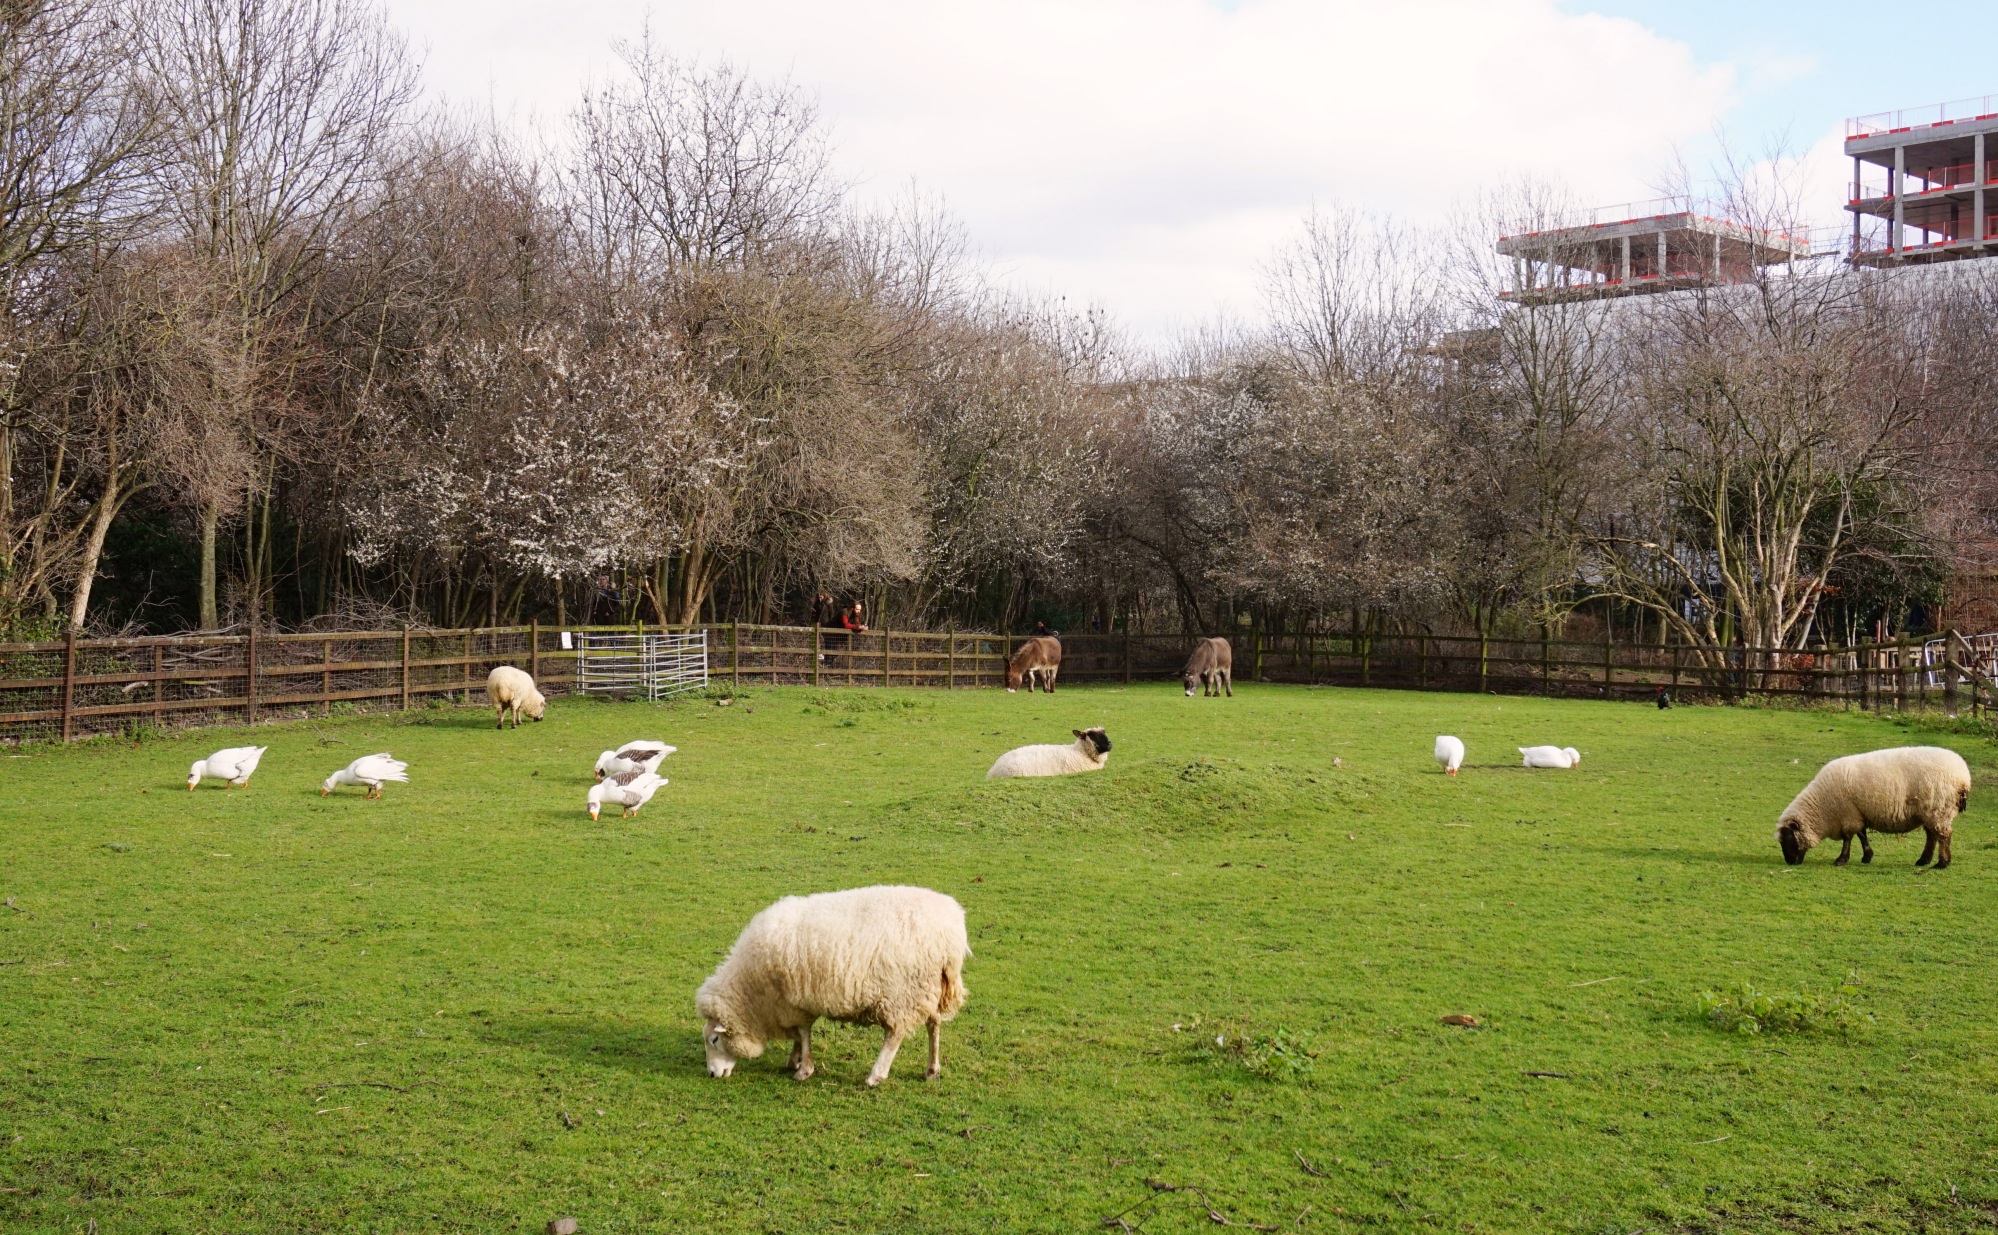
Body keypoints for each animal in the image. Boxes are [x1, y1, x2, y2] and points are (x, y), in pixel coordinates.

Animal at [699, 879, 971, 1079]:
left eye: (714, 1039)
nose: (712, 1074)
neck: (751, 992)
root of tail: (951, 932)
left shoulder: (794, 1003)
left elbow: (803, 1034)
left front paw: (803, 1069)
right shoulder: (794, 1004)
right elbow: (799, 1036)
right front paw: (795, 1060)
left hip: (902, 993)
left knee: (896, 1033)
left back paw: (876, 1075)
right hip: (928, 987)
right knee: (934, 1024)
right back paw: (932, 1070)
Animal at [1782, 739, 1966, 867]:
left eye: (1788, 838)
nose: (1790, 862)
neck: (1822, 806)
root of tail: (1964, 777)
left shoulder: (1848, 813)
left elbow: (1848, 837)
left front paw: (1841, 859)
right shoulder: (1857, 812)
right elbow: (1861, 834)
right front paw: (1867, 856)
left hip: (1939, 808)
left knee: (1943, 835)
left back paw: (1942, 863)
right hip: (1929, 811)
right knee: (1932, 835)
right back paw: (1924, 860)